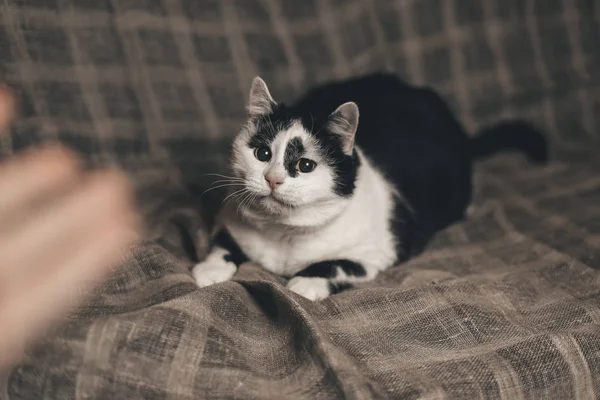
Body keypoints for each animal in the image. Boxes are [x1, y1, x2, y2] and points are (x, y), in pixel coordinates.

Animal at [193, 72, 548, 300]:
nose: (272, 178)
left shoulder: (379, 251)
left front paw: (304, 283)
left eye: (305, 165)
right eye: (262, 153)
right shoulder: (230, 218)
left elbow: (336, 264)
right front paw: (209, 270)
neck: (285, 235)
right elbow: (222, 244)